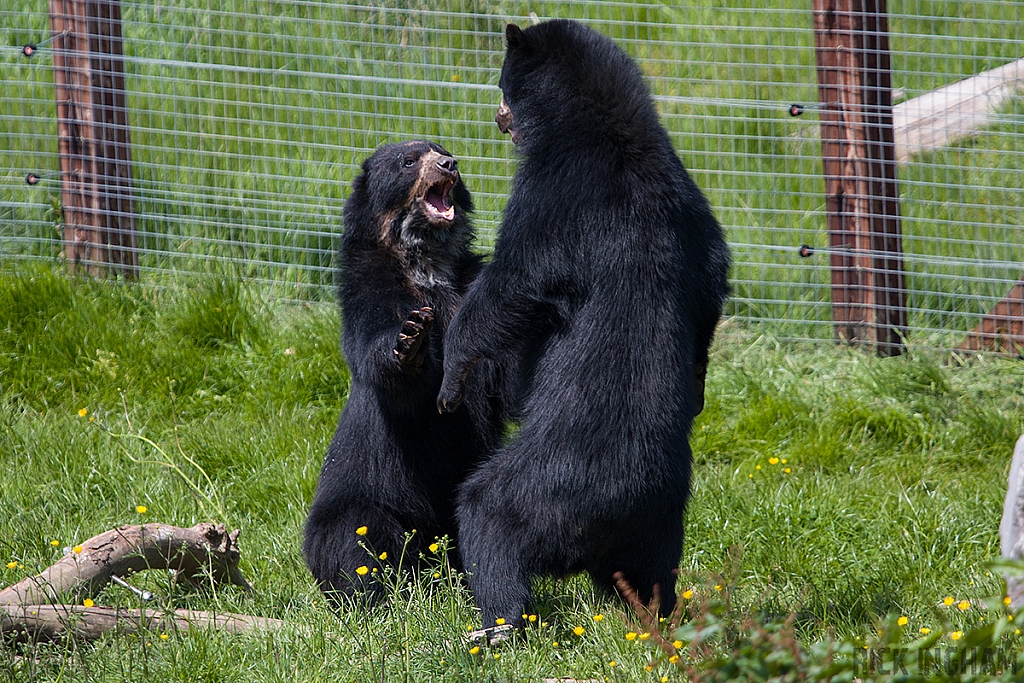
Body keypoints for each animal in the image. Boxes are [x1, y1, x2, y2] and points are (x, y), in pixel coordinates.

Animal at [436, 20, 733, 630]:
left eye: (503, 84)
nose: (497, 117)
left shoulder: (558, 192)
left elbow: (514, 282)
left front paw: (451, 378)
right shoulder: (695, 212)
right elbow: (712, 289)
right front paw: (698, 384)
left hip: (547, 484)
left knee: (488, 516)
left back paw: (496, 623)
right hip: (663, 520)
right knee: (653, 571)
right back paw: (656, 615)